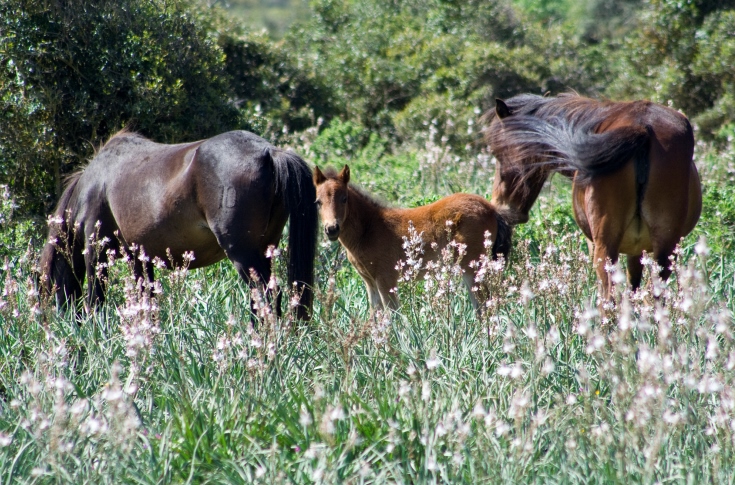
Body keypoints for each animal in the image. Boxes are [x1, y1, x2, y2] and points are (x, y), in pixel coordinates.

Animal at [312, 166, 512, 310]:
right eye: (318, 202)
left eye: (344, 198)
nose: (331, 229)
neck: (369, 229)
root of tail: (492, 210)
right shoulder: (370, 282)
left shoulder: (386, 279)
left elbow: (393, 316)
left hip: (473, 267)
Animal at [486, 92, 704, 296]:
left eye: (497, 153)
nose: (500, 206)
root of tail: (643, 128)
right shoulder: (637, 250)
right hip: (664, 249)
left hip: (605, 248)